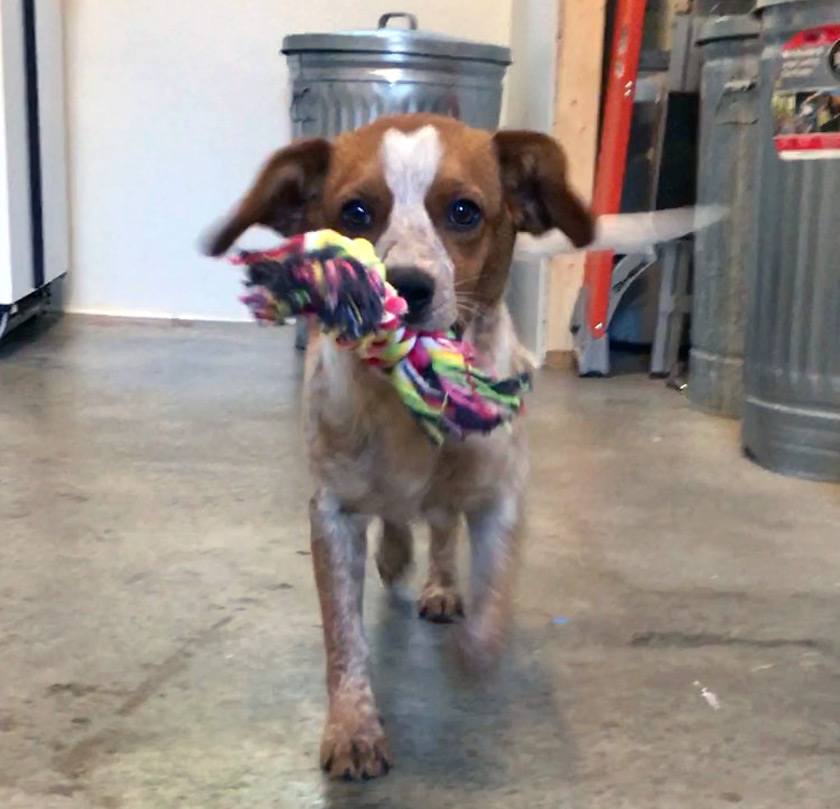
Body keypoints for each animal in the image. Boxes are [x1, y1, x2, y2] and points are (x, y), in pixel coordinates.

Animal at [205, 113, 704, 776]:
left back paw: (440, 586)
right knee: (401, 522)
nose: (406, 287)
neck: (406, 395)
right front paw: (353, 727)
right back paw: (397, 556)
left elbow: (492, 593)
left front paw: (472, 653)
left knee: (442, 530)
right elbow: (344, 637)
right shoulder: (333, 512)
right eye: (356, 211)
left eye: (464, 211)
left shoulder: (501, 498)